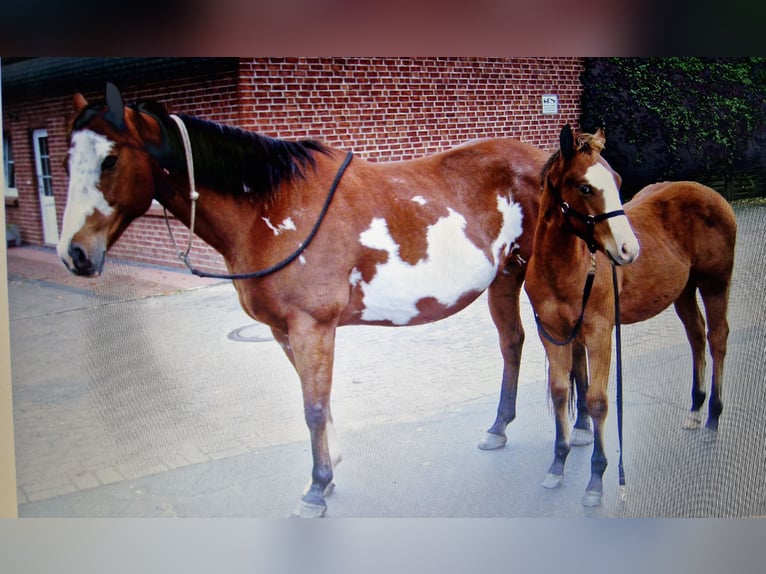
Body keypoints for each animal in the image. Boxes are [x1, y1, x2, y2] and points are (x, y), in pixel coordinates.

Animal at [56, 83, 549, 517]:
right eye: (64, 163)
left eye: (110, 159)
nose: (73, 254)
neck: (269, 208)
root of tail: (547, 162)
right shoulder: (283, 330)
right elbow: (319, 402)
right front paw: (328, 476)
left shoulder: (312, 325)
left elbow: (313, 408)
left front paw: (315, 489)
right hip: (505, 277)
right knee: (513, 344)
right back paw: (499, 428)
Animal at [526, 124, 737, 507]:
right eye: (585, 187)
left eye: (618, 180)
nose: (628, 250)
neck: (564, 270)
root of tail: (712, 194)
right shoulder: (552, 334)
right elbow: (561, 391)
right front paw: (557, 464)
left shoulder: (599, 333)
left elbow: (596, 401)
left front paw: (596, 479)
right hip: (684, 291)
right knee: (697, 336)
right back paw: (696, 409)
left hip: (715, 283)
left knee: (717, 339)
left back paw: (713, 417)